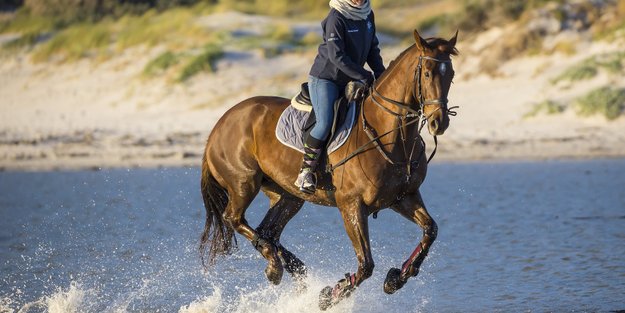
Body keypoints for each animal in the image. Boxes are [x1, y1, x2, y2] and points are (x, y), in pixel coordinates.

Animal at [200, 29, 458, 310]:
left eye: (451, 75)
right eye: (427, 73)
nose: (439, 122)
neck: (389, 135)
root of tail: (219, 124)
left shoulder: (403, 197)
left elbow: (430, 230)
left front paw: (396, 279)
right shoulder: (351, 206)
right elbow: (366, 265)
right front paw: (329, 296)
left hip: (287, 195)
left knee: (267, 231)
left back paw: (290, 268)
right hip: (243, 183)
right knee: (234, 218)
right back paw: (276, 267)